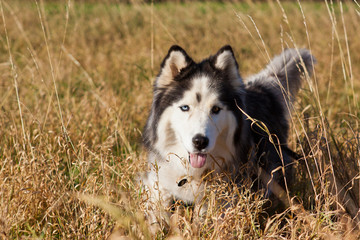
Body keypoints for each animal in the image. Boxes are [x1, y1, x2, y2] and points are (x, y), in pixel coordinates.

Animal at [141, 45, 316, 229]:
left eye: (216, 109)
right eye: (185, 107)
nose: (200, 141)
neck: (192, 173)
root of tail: (262, 90)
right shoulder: (159, 184)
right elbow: (157, 215)